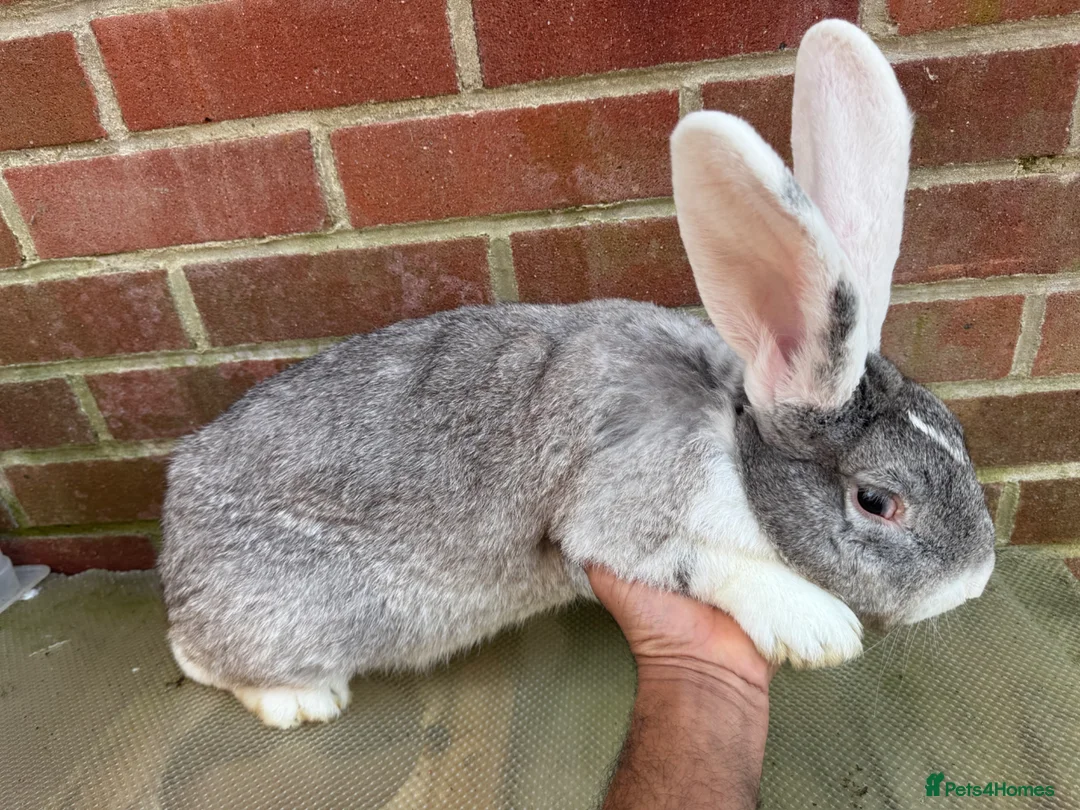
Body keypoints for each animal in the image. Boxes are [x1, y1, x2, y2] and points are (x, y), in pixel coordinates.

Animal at [159, 19, 995, 730]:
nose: (976, 583)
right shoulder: (614, 522)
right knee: (203, 660)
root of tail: (173, 542)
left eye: (954, 432)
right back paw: (301, 703)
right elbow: (703, 563)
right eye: (877, 501)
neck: (731, 438)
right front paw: (819, 628)